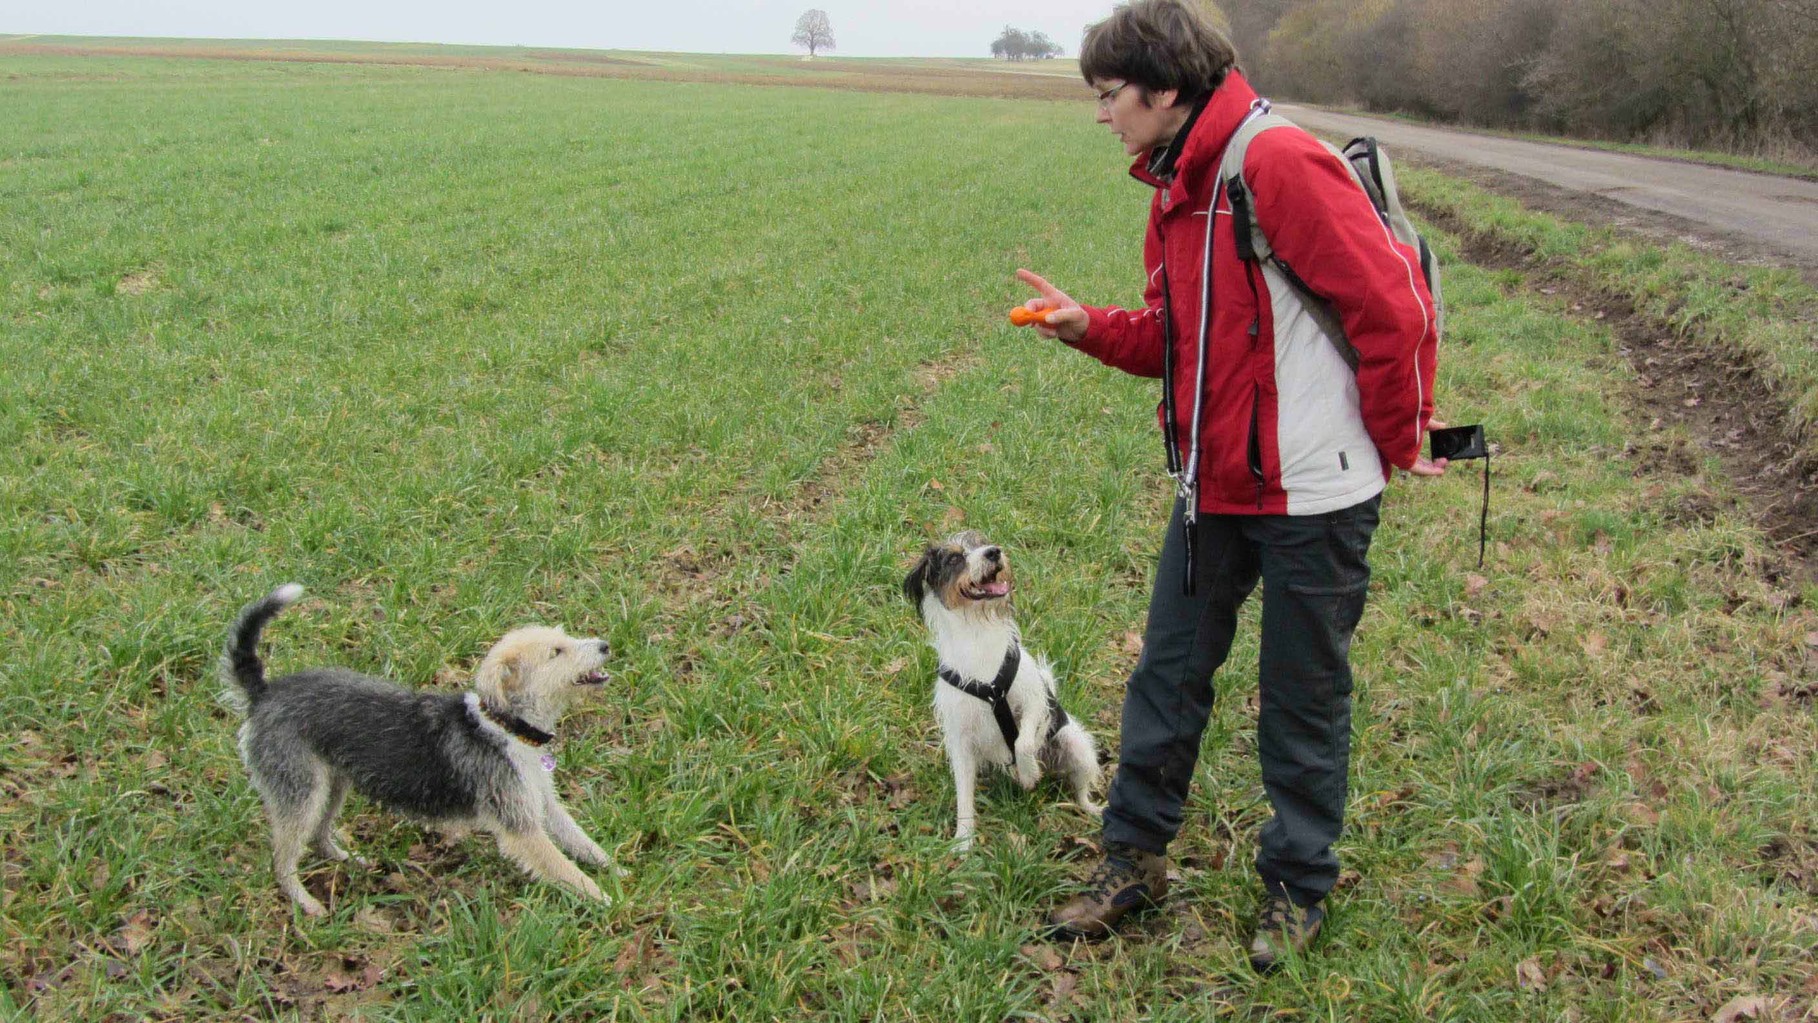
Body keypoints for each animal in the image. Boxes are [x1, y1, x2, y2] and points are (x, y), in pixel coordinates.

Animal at [218, 588, 618, 915]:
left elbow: (581, 841)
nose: (605, 645)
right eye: (556, 652)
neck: (505, 727)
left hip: (331, 786)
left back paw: (349, 861)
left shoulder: (542, 802)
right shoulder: (521, 828)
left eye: (564, 637)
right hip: (300, 792)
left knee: (318, 836)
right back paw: (306, 904)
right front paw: (608, 900)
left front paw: (616, 868)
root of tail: (263, 694)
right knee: (282, 861)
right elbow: (567, 869)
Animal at [901, 534, 1098, 854]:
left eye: (982, 541)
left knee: (1081, 788)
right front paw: (963, 840)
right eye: (954, 558)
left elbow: (1023, 742)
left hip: (1075, 745)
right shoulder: (960, 741)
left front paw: (1029, 773)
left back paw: (1089, 807)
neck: (976, 634)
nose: (994, 552)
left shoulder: (1034, 701)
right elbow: (964, 796)